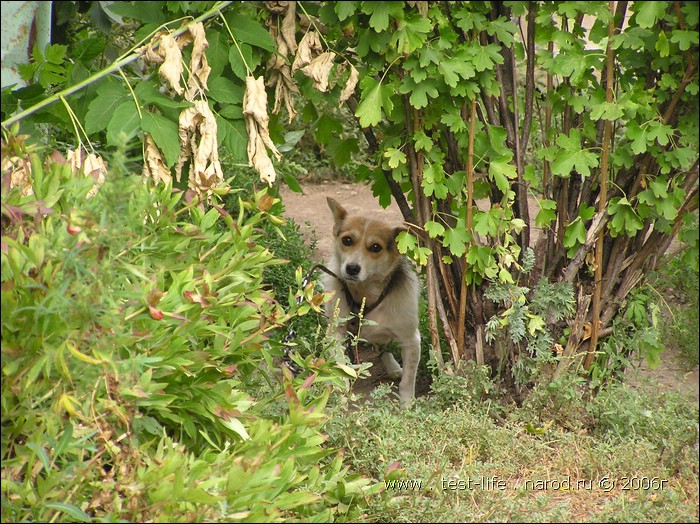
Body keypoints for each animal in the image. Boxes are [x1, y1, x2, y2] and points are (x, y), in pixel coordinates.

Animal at [322, 196, 422, 406]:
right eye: (347, 240)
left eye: (376, 247)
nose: (352, 268)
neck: (365, 293)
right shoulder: (337, 332)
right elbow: (341, 364)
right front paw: (341, 392)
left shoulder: (411, 340)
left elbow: (408, 379)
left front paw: (407, 404)